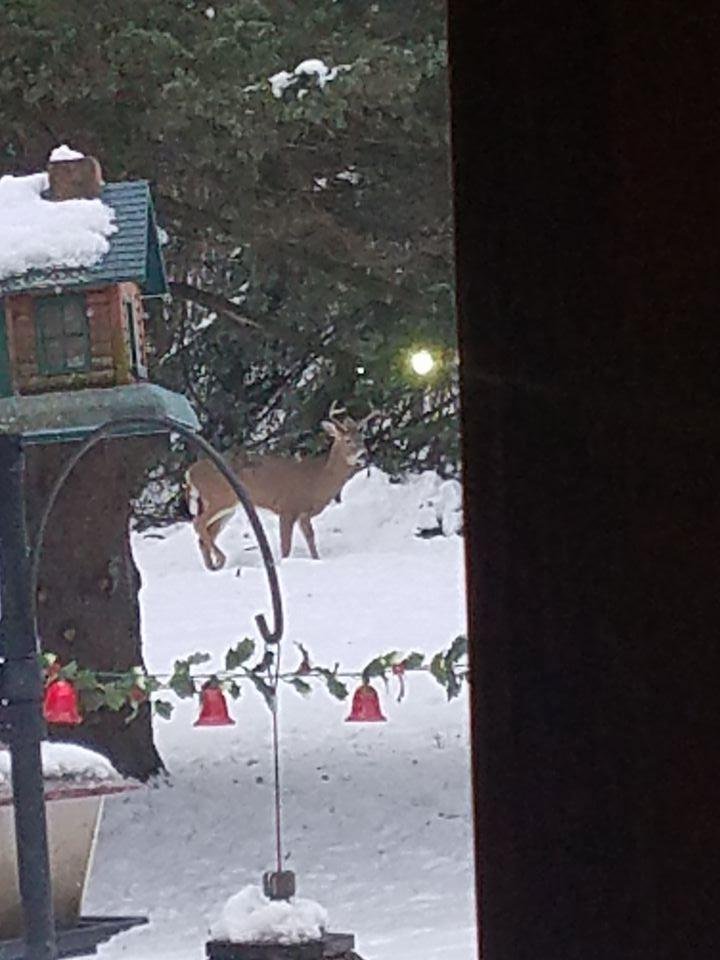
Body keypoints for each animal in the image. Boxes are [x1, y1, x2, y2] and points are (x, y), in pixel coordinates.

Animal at [185, 404, 377, 570]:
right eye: (348, 440)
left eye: (362, 439)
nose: (363, 454)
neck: (318, 479)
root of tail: (190, 472)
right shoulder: (287, 508)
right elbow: (286, 545)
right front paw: (285, 564)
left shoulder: (303, 513)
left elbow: (311, 540)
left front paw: (316, 561)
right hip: (220, 497)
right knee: (198, 523)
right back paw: (221, 559)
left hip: (226, 507)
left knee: (204, 534)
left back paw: (214, 566)